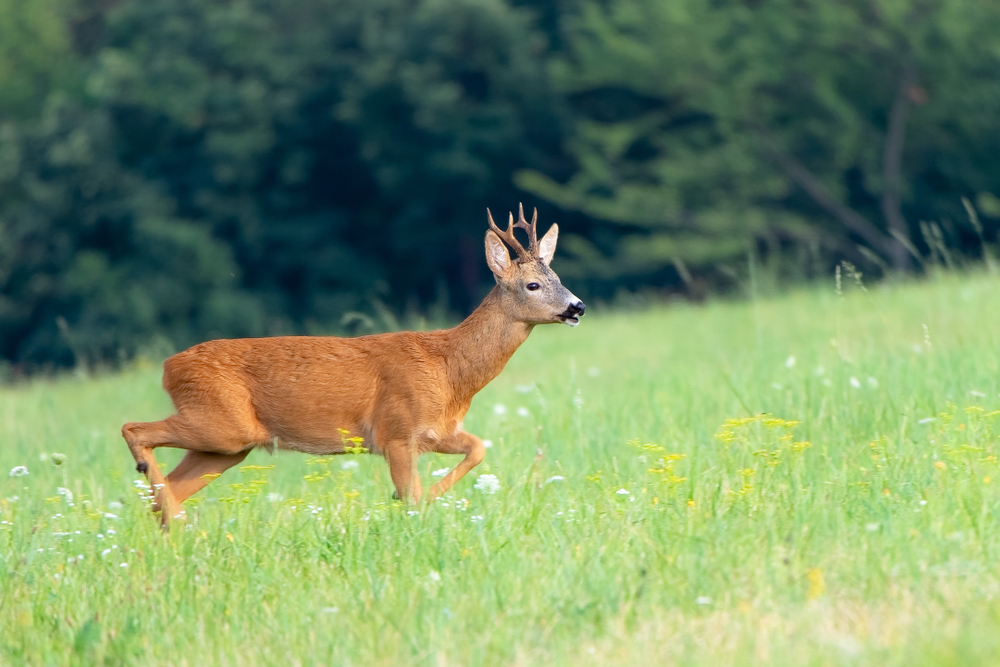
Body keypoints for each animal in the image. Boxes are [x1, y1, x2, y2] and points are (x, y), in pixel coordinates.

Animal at [122, 205, 585, 526]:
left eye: (559, 277)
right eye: (533, 284)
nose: (577, 306)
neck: (449, 369)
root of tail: (167, 367)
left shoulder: (434, 431)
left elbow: (477, 448)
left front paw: (428, 501)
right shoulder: (395, 431)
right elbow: (412, 492)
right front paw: (413, 509)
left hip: (227, 446)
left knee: (171, 484)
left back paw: (169, 526)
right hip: (221, 423)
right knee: (133, 428)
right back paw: (165, 506)